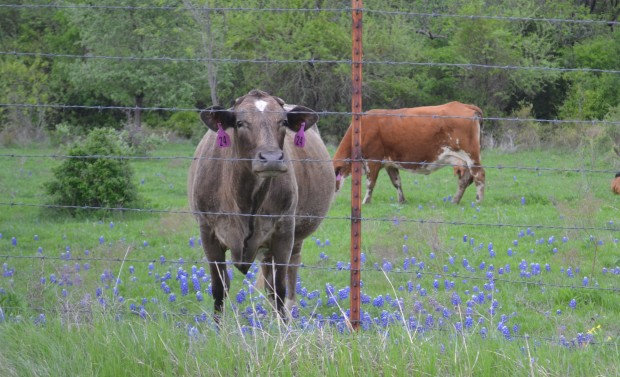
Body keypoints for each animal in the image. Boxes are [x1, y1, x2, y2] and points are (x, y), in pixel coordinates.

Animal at [188, 89, 334, 320]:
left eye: (283, 121)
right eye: (240, 123)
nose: (272, 158)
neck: (245, 201)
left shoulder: (284, 233)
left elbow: (280, 289)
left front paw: (282, 327)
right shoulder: (208, 232)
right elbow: (219, 289)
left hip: (295, 237)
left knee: (289, 277)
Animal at [334, 101, 484, 204]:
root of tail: (464, 105)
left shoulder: (372, 160)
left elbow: (370, 183)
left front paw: (366, 201)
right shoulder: (390, 163)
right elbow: (396, 182)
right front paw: (402, 200)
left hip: (471, 155)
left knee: (479, 174)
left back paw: (478, 201)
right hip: (463, 159)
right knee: (465, 179)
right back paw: (455, 200)